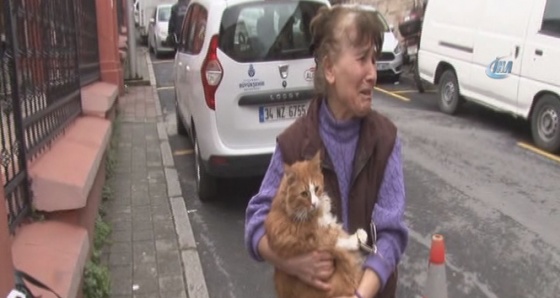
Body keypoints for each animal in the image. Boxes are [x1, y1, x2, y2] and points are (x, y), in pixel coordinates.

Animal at [266, 151, 370, 298]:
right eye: (304, 194)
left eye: (316, 188)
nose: (314, 203)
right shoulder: (305, 237)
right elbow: (335, 239)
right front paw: (357, 238)